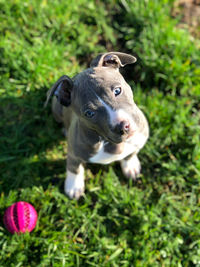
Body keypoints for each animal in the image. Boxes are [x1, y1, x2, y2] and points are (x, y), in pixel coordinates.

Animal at [45, 51, 148, 199]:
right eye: (89, 113)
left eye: (117, 91)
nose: (123, 126)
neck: (105, 141)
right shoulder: (74, 153)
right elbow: (74, 167)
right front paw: (73, 186)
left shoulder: (139, 139)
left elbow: (131, 153)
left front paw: (130, 165)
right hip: (56, 109)